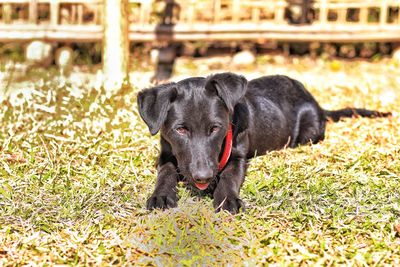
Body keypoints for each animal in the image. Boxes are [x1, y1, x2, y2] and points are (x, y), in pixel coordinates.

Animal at [138, 73, 390, 214]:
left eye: (216, 128)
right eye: (180, 129)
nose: (203, 177)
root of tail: (316, 103)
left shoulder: (238, 157)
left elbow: (229, 176)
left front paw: (227, 199)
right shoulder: (166, 154)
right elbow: (166, 172)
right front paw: (161, 195)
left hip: (309, 133)